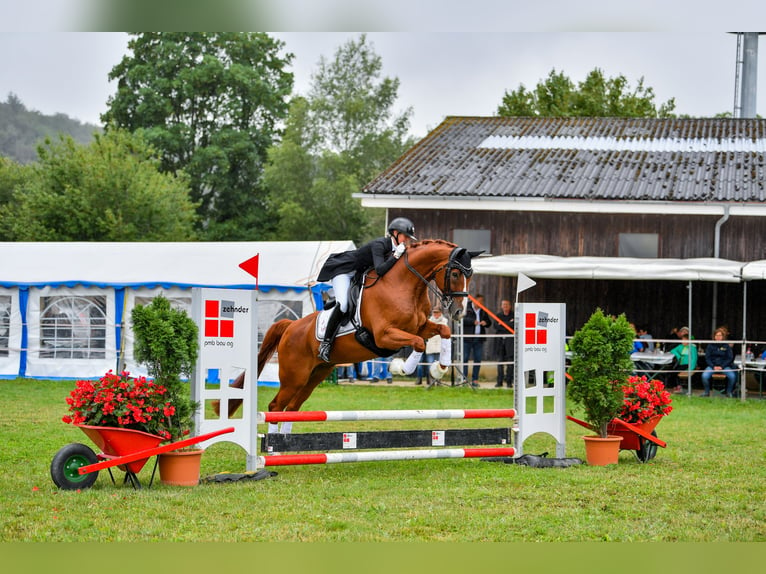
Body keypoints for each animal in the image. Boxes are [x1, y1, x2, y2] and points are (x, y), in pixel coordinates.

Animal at [218, 238, 480, 418]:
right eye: (455, 274)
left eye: (471, 275)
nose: (459, 312)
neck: (404, 285)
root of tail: (291, 326)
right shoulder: (384, 336)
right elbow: (417, 343)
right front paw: (402, 368)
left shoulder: (421, 326)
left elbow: (443, 332)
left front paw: (440, 368)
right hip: (294, 376)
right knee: (276, 405)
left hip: (316, 374)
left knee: (292, 407)